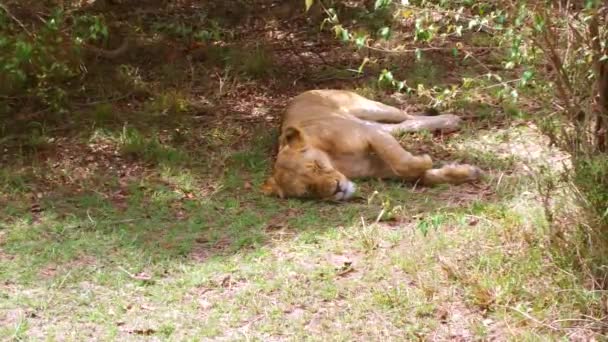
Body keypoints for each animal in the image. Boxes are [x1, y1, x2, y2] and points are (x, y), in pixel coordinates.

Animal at [260, 89, 480, 202]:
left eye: (317, 166)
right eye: (308, 191)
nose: (337, 189)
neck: (337, 163)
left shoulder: (368, 135)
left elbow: (403, 162)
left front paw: (425, 159)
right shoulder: (378, 164)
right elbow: (419, 175)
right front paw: (467, 172)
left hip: (372, 109)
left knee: (407, 117)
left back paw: (450, 120)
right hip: (375, 123)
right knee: (400, 126)